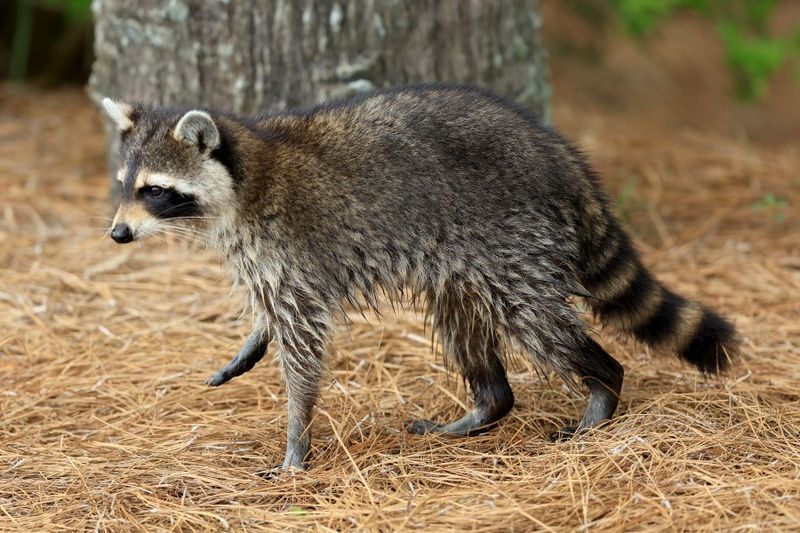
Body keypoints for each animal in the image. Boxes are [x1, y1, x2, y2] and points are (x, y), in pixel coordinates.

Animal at [102, 84, 737, 471]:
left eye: (155, 191)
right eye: (124, 185)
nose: (118, 234)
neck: (245, 174)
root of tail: (561, 157)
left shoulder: (291, 251)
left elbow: (304, 346)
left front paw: (296, 440)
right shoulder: (266, 260)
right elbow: (275, 319)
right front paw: (253, 341)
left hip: (516, 240)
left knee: (537, 321)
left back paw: (602, 385)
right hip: (462, 264)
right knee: (461, 320)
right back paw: (489, 403)